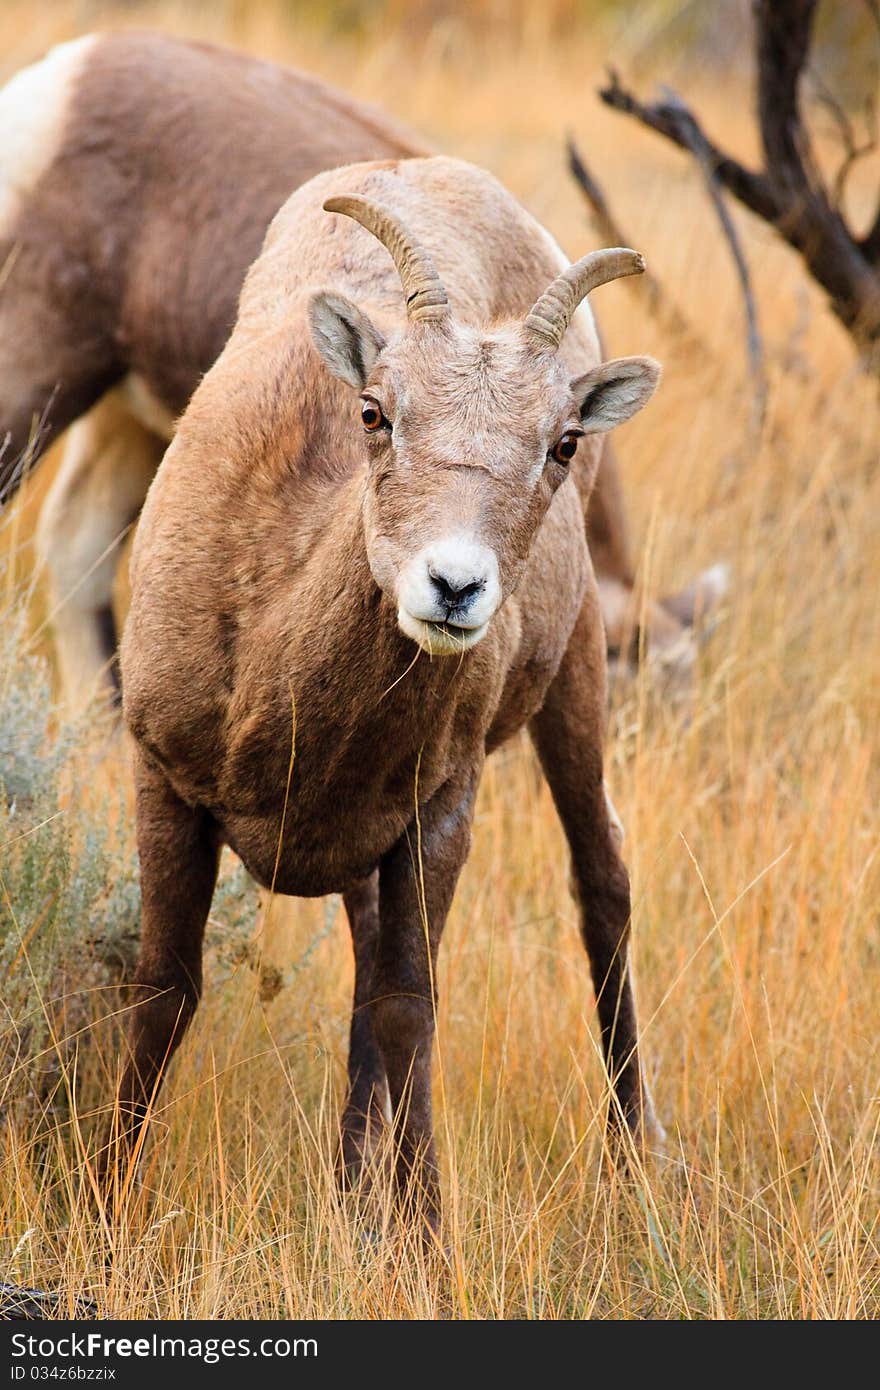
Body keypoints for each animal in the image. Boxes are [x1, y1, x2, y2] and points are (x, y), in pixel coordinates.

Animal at [111, 157, 664, 1234]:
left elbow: (408, 1008)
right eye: (373, 410)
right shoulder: (164, 782)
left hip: (576, 669)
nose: (452, 587)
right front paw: (104, 1210)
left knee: (602, 885)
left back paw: (643, 1164)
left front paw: (422, 1238)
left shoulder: (438, 809)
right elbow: (163, 993)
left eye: (562, 442)